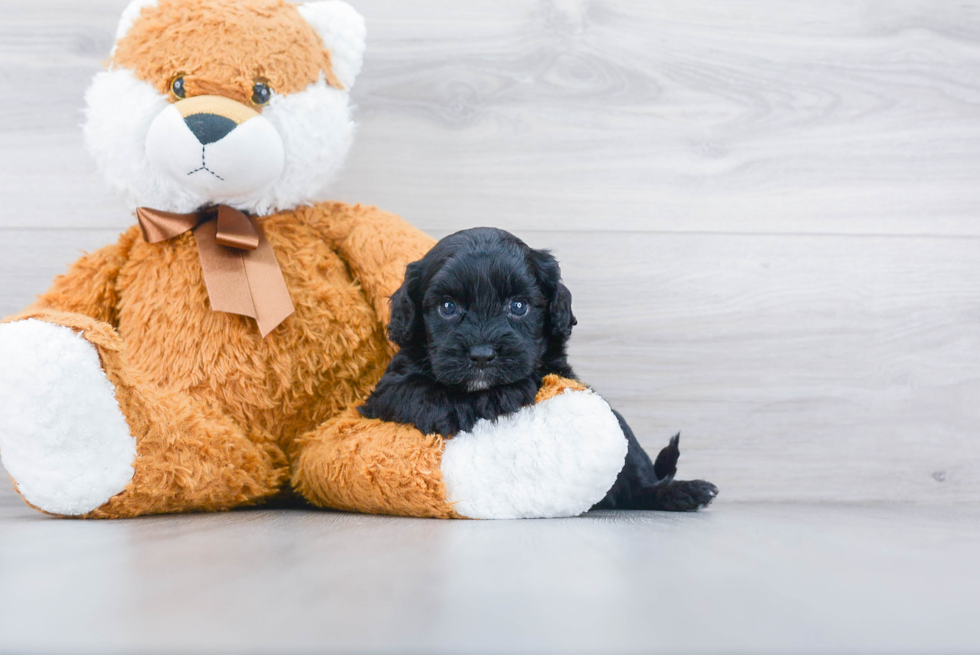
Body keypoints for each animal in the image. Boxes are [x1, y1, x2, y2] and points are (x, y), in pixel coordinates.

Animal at [360, 229, 720, 512]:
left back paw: (682, 492)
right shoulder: (384, 391)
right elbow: (416, 390)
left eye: (518, 306)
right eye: (448, 307)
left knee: (637, 482)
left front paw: (504, 392)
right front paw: (469, 405)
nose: (482, 355)